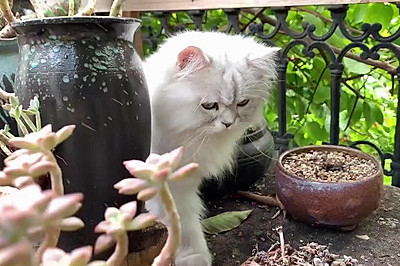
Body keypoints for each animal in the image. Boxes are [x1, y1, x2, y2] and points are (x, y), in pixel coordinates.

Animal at [143, 31, 278, 266]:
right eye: (209, 106)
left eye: (242, 103)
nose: (228, 123)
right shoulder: (164, 183)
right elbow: (179, 223)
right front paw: (187, 257)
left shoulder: (183, 184)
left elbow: (187, 222)